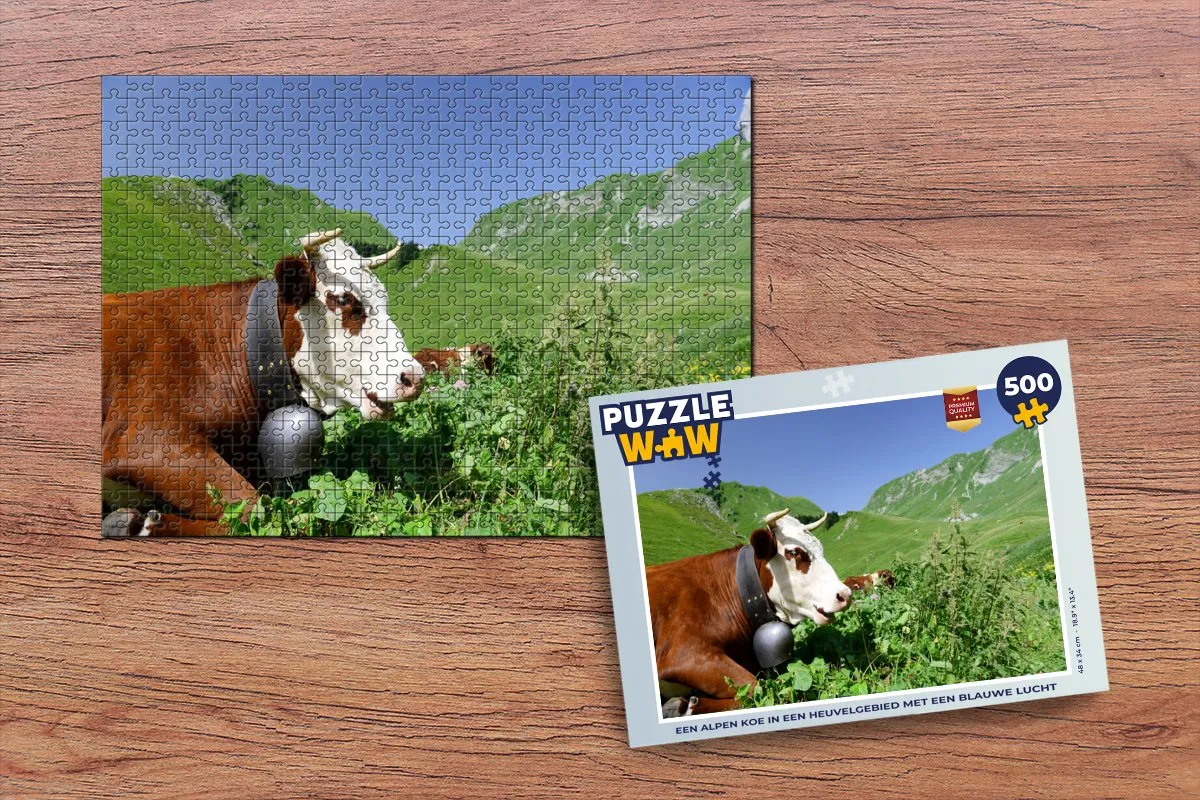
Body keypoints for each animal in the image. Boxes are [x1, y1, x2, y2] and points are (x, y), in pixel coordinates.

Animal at [101, 230, 425, 537]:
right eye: (344, 301)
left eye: (385, 300)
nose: (415, 377)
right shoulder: (146, 439)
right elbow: (254, 506)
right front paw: (136, 524)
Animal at [648, 509, 853, 716]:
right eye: (794, 552)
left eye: (821, 549)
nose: (845, 594)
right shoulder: (684, 654)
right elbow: (756, 687)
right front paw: (683, 707)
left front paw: (686, 705)